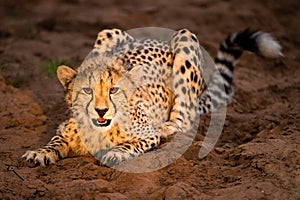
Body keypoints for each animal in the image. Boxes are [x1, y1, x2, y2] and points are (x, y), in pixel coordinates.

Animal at [22, 27, 282, 166]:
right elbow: (57, 140)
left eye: (114, 90)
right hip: (108, 33)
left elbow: (131, 143)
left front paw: (116, 152)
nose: (101, 110)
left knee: (184, 116)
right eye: (87, 90)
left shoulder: (146, 134)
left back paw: (169, 127)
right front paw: (40, 152)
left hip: (185, 39)